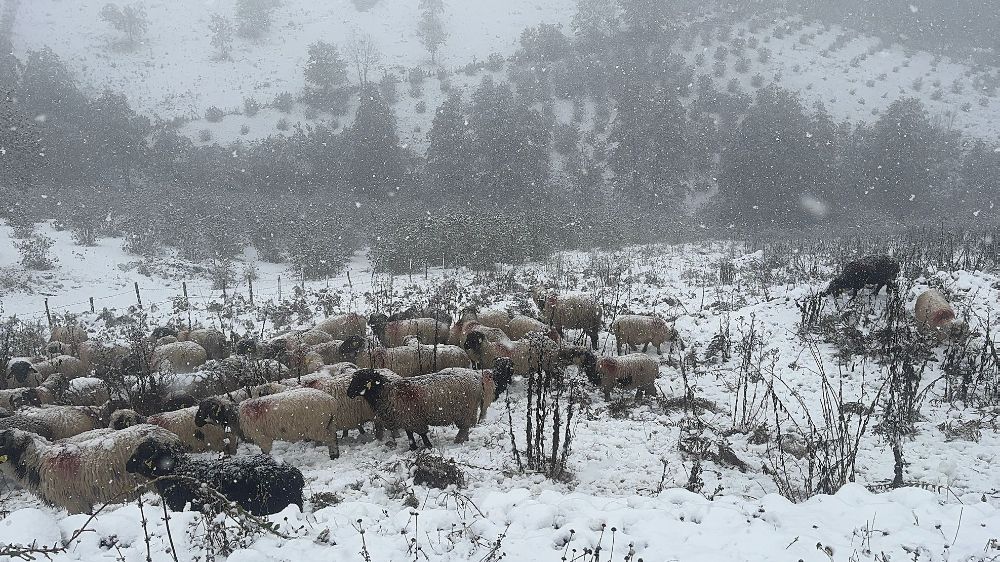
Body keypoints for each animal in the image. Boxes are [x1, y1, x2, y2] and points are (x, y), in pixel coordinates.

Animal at [195, 388, 344, 458]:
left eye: (203, 409)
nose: (196, 422)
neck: (236, 416)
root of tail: (332, 401)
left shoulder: (262, 438)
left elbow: (264, 452)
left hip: (317, 427)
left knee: (330, 438)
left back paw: (333, 455)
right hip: (330, 423)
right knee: (334, 437)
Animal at [348, 366, 496, 448]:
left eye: (361, 380)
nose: (348, 393)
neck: (387, 393)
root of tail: (476, 376)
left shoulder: (414, 418)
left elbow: (422, 433)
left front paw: (428, 446)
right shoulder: (406, 418)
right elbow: (409, 434)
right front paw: (413, 447)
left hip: (467, 410)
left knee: (464, 427)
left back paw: (458, 441)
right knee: (466, 428)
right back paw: (463, 439)